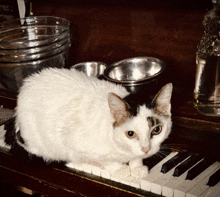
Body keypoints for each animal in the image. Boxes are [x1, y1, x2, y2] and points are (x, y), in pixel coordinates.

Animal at [13, 67, 173, 180]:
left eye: (157, 130)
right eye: (130, 134)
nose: (146, 149)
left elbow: (135, 157)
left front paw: (137, 166)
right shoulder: (74, 142)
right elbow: (105, 160)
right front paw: (120, 169)